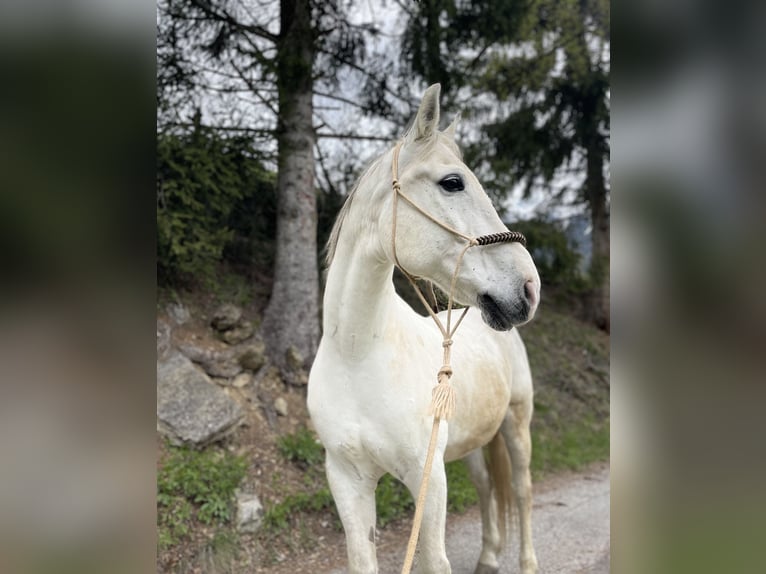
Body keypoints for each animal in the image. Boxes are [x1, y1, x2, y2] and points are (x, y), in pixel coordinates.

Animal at [308, 85, 544, 574]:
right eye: (452, 182)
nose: (529, 288)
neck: (358, 354)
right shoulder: (346, 480)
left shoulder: (427, 477)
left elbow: (434, 559)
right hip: (473, 441)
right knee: (488, 488)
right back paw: (488, 557)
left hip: (516, 423)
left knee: (523, 490)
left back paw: (527, 562)